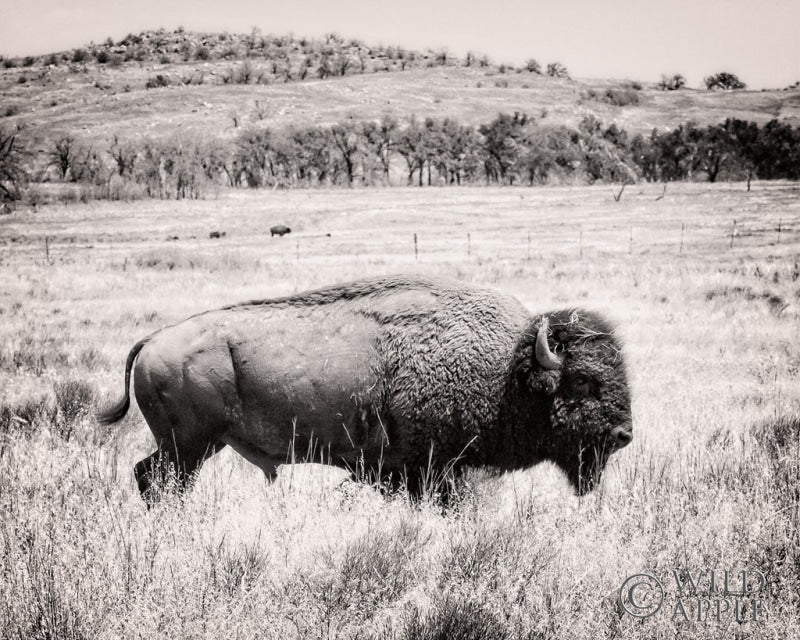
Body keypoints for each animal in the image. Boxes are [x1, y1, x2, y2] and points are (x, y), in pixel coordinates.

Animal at [98, 275, 632, 503]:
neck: (506, 370)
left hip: (189, 448)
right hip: (188, 447)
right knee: (156, 480)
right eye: (582, 380)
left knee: (147, 475)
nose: (624, 434)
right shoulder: (431, 471)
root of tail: (154, 340)